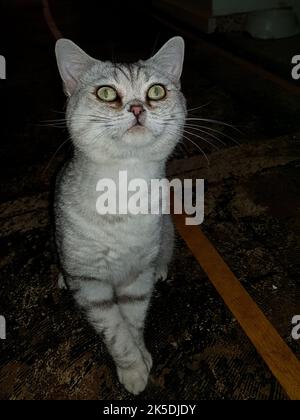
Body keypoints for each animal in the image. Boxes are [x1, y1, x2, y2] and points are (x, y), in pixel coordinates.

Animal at [54, 37, 185, 396]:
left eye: (156, 91)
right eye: (106, 93)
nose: (138, 108)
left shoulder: (136, 277)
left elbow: (133, 322)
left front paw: (141, 356)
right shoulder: (91, 286)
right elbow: (116, 333)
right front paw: (133, 368)